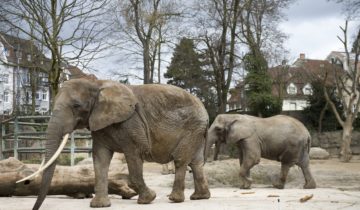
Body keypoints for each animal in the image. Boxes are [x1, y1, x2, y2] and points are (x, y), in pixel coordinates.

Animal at [18, 79, 211, 210]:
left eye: (76, 105)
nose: (34, 208)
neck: (98, 85)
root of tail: (205, 110)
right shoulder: (99, 125)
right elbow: (100, 159)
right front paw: (99, 205)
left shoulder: (131, 123)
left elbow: (134, 155)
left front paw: (148, 199)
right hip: (196, 131)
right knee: (196, 162)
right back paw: (200, 197)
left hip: (191, 127)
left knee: (181, 160)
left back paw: (174, 199)